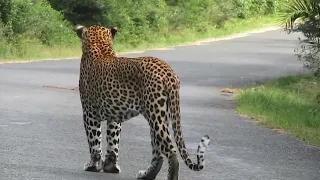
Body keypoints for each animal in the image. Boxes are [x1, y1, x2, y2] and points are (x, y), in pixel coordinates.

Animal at [74, 25, 210, 180]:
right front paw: (111, 167)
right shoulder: (114, 117)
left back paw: (169, 177)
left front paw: (93, 166)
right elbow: (113, 143)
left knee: (171, 151)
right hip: (160, 117)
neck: (100, 48)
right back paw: (146, 175)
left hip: (156, 116)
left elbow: (94, 141)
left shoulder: (89, 113)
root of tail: (169, 72)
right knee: (158, 154)